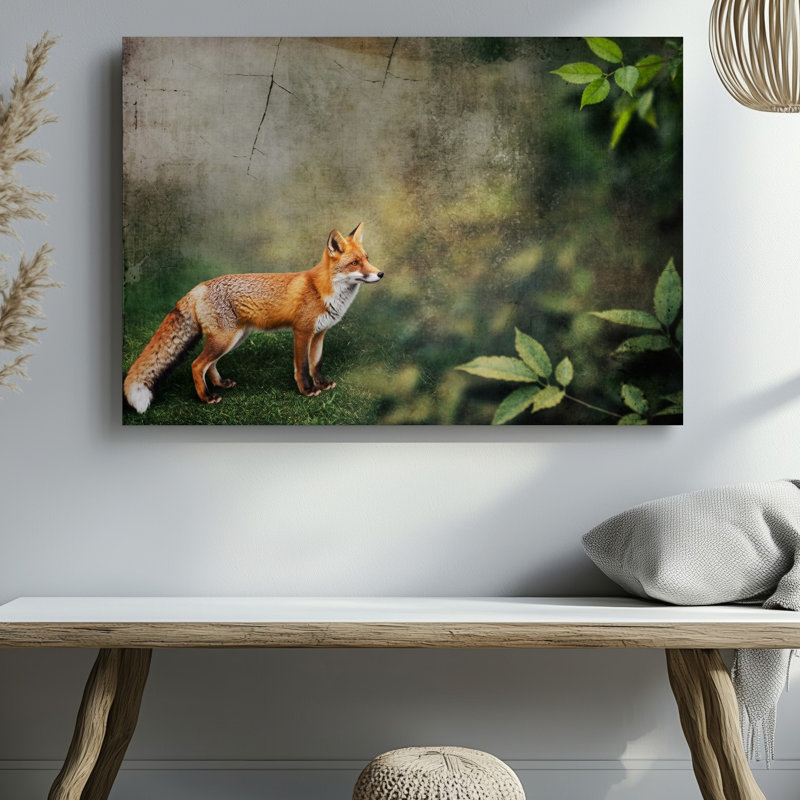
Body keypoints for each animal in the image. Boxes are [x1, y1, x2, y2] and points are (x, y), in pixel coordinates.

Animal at [124, 222, 383, 412]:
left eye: (368, 258)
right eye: (355, 263)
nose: (380, 274)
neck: (323, 290)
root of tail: (198, 287)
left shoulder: (319, 334)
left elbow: (316, 364)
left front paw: (321, 384)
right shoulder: (302, 332)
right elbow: (302, 366)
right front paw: (307, 391)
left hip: (233, 339)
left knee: (210, 364)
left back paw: (220, 384)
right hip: (225, 340)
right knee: (197, 365)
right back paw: (206, 397)